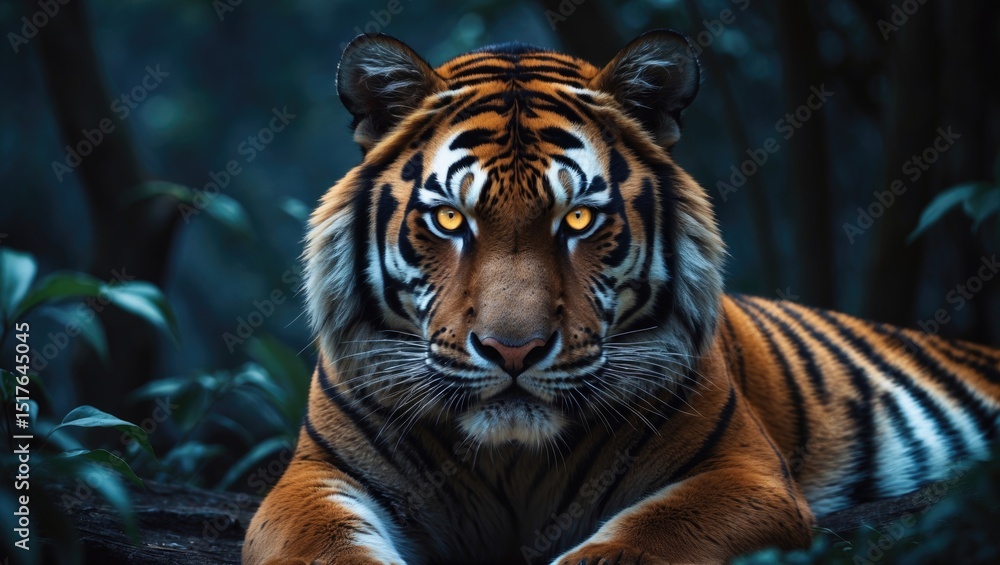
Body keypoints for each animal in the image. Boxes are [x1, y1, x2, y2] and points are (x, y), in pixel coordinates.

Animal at [242, 29, 1000, 564]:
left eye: (579, 218)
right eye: (451, 220)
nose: (512, 351)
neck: (512, 460)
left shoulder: (742, 473)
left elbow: (640, 540)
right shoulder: (314, 479)